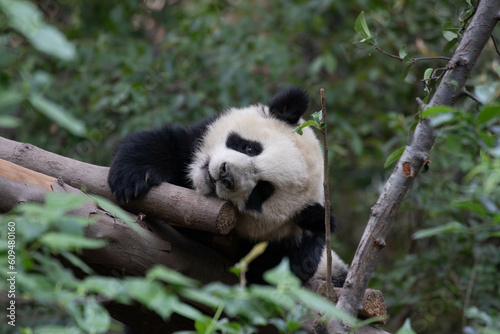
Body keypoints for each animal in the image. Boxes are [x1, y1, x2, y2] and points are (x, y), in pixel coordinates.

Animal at [107, 87, 346, 286]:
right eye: (250, 148)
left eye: (262, 190)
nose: (225, 174)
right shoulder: (189, 146)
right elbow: (161, 142)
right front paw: (134, 179)